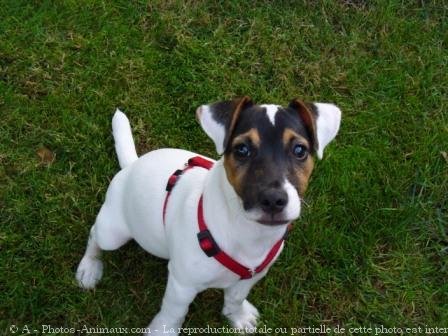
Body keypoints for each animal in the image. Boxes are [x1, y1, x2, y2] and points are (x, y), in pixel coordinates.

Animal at [77, 96, 342, 334]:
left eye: (300, 150)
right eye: (242, 150)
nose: (273, 200)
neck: (247, 231)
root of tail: (132, 165)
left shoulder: (251, 276)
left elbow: (235, 298)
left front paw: (237, 316)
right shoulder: (182, 284)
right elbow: (174, 312)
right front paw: (163, 330)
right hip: (113, 232)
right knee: (94, 235)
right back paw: (89, 267)